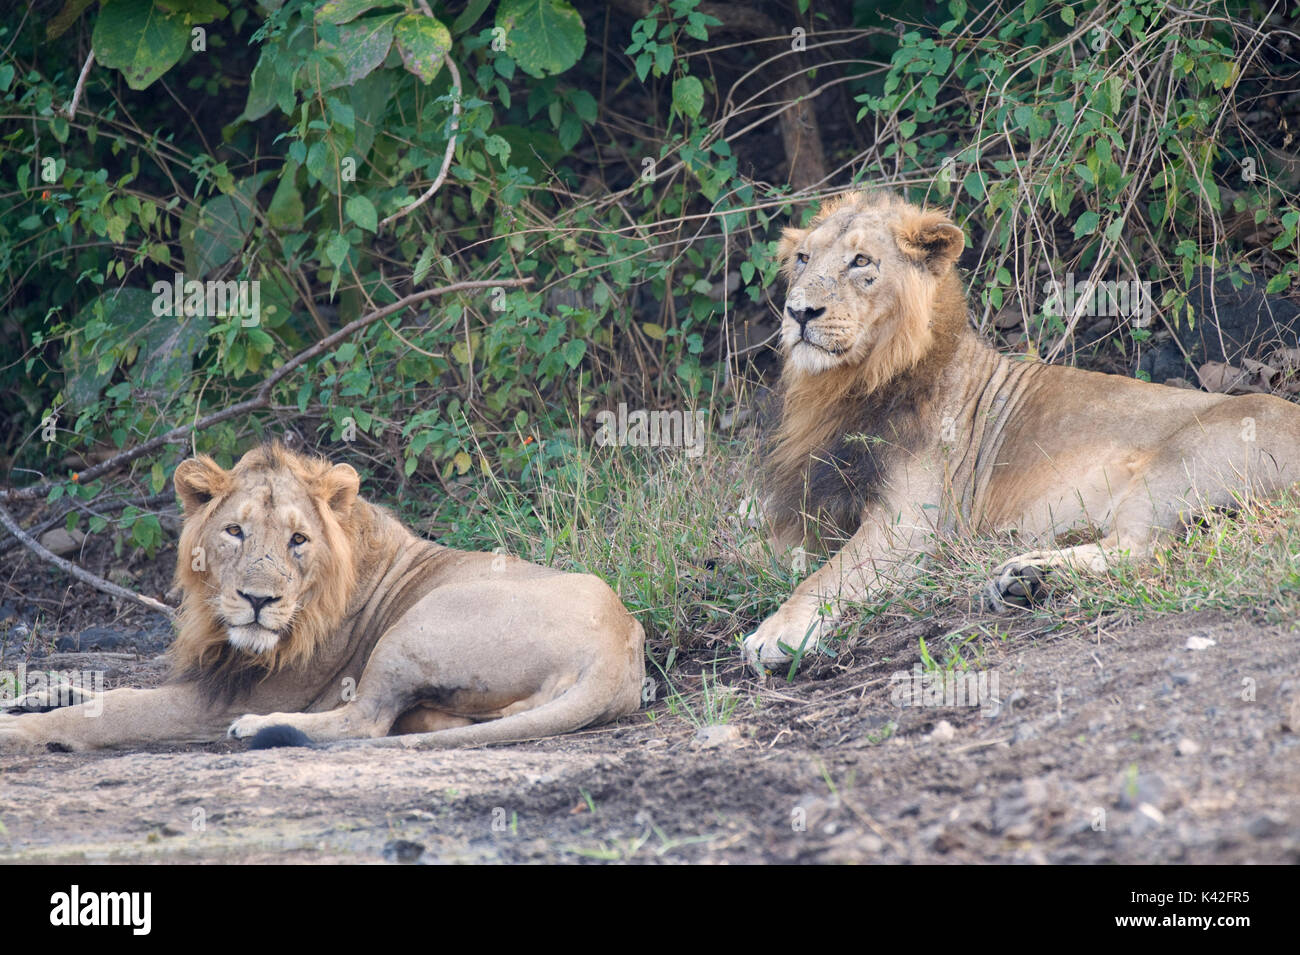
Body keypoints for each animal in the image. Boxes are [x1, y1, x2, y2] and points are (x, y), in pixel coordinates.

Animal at [0, 443, 645, 751]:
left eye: (298, 540)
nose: (257, 600)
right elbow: (102, 689)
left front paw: (23, 731)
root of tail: (618, 648)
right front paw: (37, 695)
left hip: (415, 626)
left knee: (367, 720)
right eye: (234, 531)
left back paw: (259, 728)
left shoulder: (222, 700)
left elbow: (115, 710)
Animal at [742, 190, 1300, 673]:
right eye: (802, 259)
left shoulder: (910, 528)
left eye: (861, 262)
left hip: (1180, 461)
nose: (799, 312)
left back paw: (1027, 574)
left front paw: (774, 634)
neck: (846, 384)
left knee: (1142, 548)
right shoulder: (807, 514)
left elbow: (826, 576)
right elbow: (758, 551)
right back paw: (1025, 581)